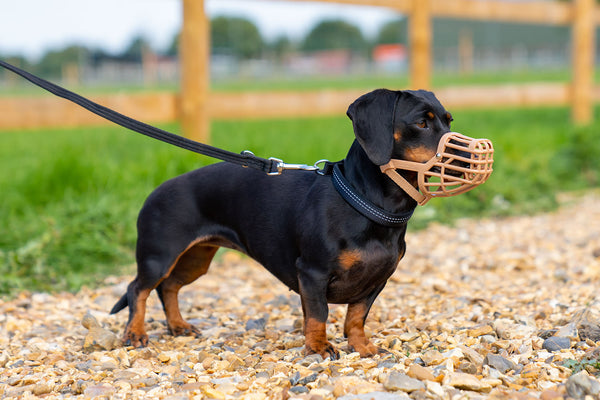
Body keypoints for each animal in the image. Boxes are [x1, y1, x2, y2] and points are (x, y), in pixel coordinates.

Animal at [110, 89, 452, 358]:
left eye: (448, 121)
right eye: (421, 123)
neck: (364, 203)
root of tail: (154, 192)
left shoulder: (377, 280)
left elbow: (356, 317)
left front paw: (361, 346)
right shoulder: (312, 274)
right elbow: (318, 315)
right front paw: (318, 348)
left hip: (195, 260)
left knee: (168, 287)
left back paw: (178, 326)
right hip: (159, 257)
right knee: (138, 288)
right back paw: (135, 334)